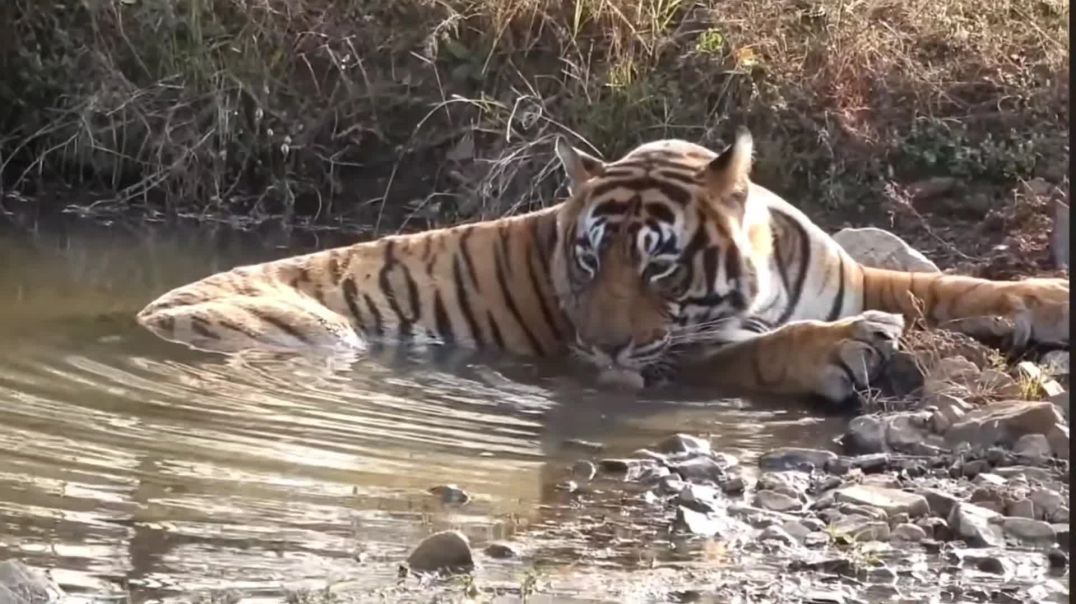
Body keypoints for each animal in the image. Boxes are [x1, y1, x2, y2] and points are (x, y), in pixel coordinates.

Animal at [136, 127, 1070, 404]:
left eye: (659, 267)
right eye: (584, 262)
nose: (604, 347)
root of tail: (143, 315)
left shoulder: (861, 277)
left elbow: (949, 284)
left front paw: (1049, 295)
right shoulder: (681, 358)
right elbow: (759, 349)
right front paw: (842, 349)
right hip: (313, 333)